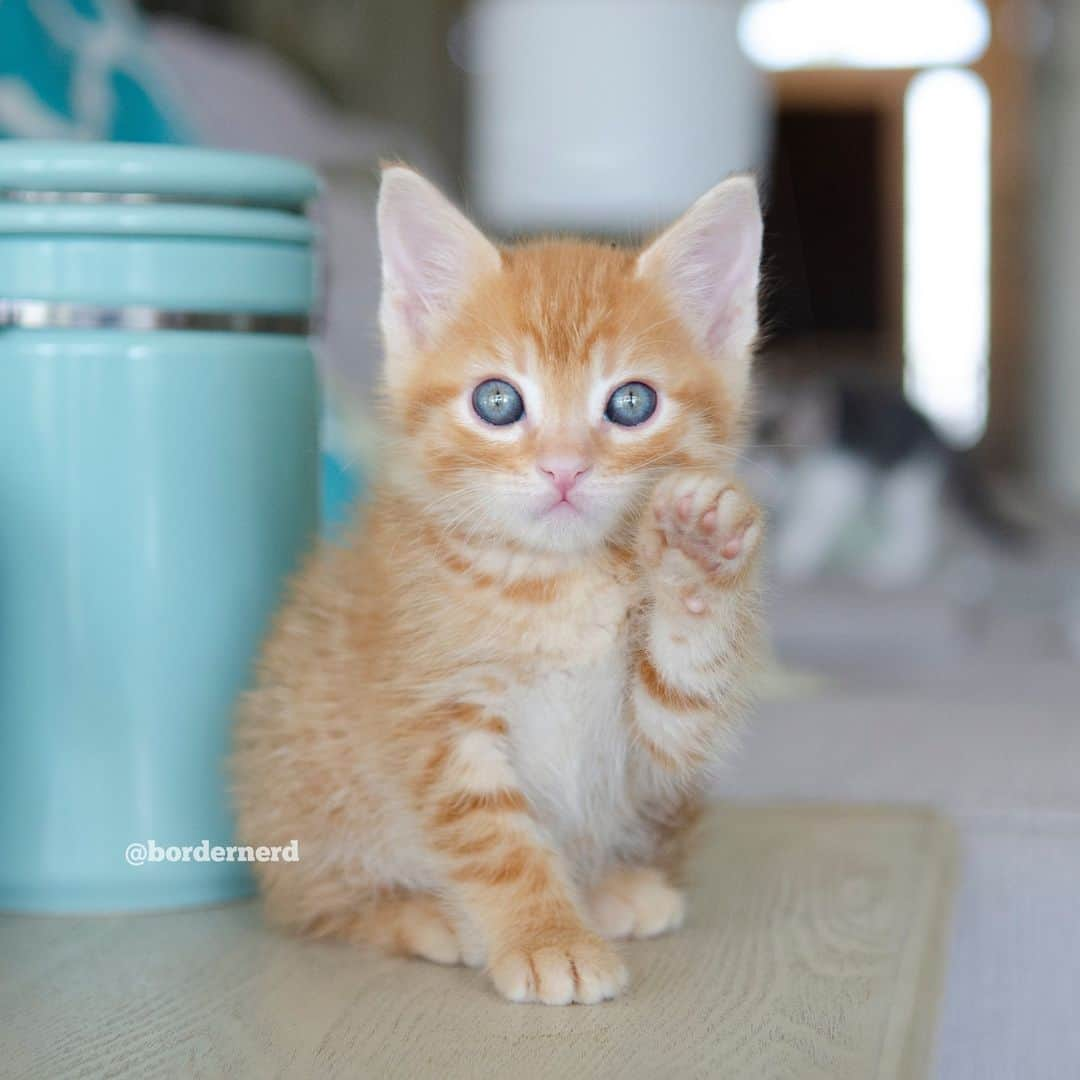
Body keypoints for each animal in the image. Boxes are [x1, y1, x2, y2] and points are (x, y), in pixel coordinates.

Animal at [232, 166, 764, 1002]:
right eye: (498, 401)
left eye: (632, 402)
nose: (564, 467)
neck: (554, 579)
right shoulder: (436, 716)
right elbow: (493, 840)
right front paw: (547, 938)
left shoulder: (651, 747)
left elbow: (679, 705)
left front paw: (697, 555)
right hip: (303, 792)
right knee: (312, 904)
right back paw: (419, 915)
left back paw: (610, 887)